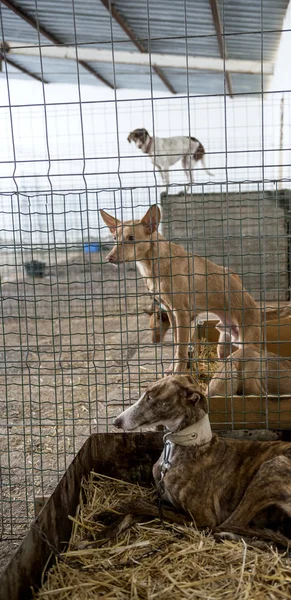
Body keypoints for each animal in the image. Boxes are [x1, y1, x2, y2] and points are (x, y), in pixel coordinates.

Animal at [101, 207, 262, 376]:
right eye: (114, 238)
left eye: (131, 238)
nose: (109, 258)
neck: (153, 266)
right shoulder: (171, 313)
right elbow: (177, 344)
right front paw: (172, 369)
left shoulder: (182, 314)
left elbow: (181, 350)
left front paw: (178, 373)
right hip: (223, 343)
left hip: (248, 344)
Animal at [114, 378, 291, 548]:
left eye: (150, 397)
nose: (116, 422)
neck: (190, 445)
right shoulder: (164, 501)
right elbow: (147, 509)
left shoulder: (203, 518)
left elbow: (141, 503)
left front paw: (116, 510)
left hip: (273, 467)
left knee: (229, 524)